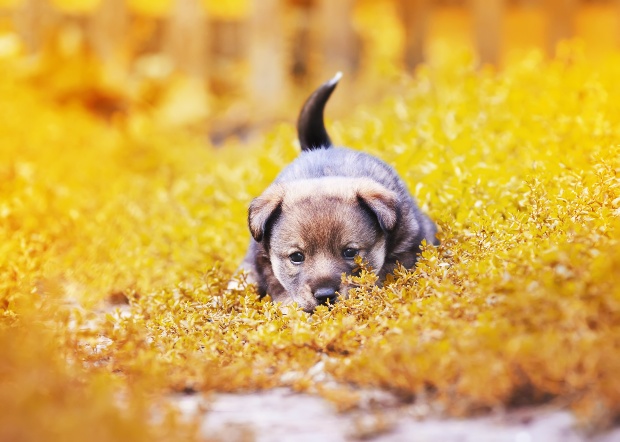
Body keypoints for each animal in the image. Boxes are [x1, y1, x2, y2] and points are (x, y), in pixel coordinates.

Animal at [236, 73, 436, 314]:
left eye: (350, 252)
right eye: (296, 257)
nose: (325, 295)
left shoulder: (407, 246)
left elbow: (385, 272)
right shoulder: (263, 260)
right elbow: (278, 285)